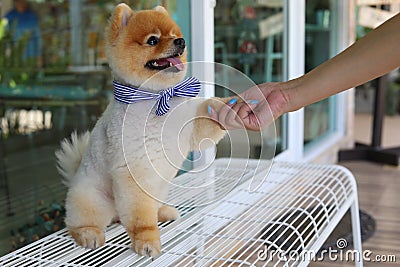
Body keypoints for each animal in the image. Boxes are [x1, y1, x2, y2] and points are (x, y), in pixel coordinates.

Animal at [55, 3, 227, 258]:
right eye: (153, 40)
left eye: (174, 35)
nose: (181, 42)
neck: (156, 98)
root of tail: (74, 177)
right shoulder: (133, 172)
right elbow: (141, 218)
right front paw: (146, 240)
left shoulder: (190, 131)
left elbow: (206, 122)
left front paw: (230, 106)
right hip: (93, 200)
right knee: (78, 222)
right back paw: (88, 233)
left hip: (160, 189)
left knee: (150, 207)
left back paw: (163, 212)